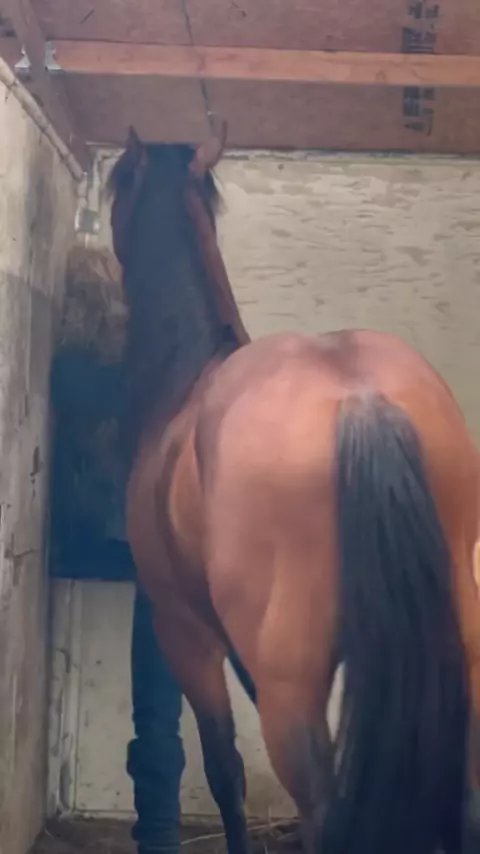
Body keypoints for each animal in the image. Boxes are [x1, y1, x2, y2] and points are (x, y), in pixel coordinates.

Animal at [107, 125, 480, 854]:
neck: (190, 376)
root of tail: (358, 397)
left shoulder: (187, 632)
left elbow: (223, 769)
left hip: (290, 691)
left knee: (326, 812)